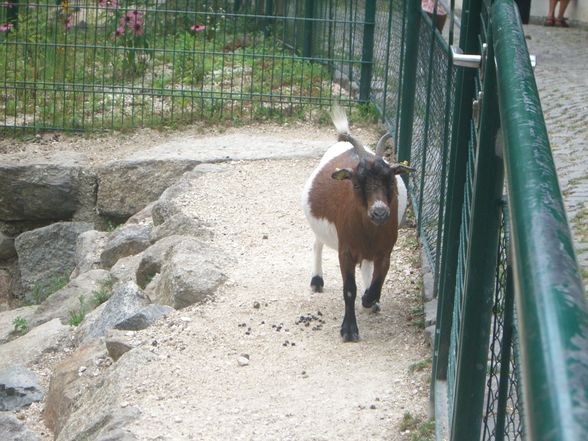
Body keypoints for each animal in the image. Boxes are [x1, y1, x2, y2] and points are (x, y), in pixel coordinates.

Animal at [304, 108, 414, 342]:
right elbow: (349, 289)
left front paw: (369, 300)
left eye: (391, 181)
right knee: (317, 244)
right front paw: (349, 330)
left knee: (366, 266)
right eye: (356, 183)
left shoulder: (385, 252)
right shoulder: (345, 251)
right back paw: (317, 281)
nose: (379, 212)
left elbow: (378, 282)